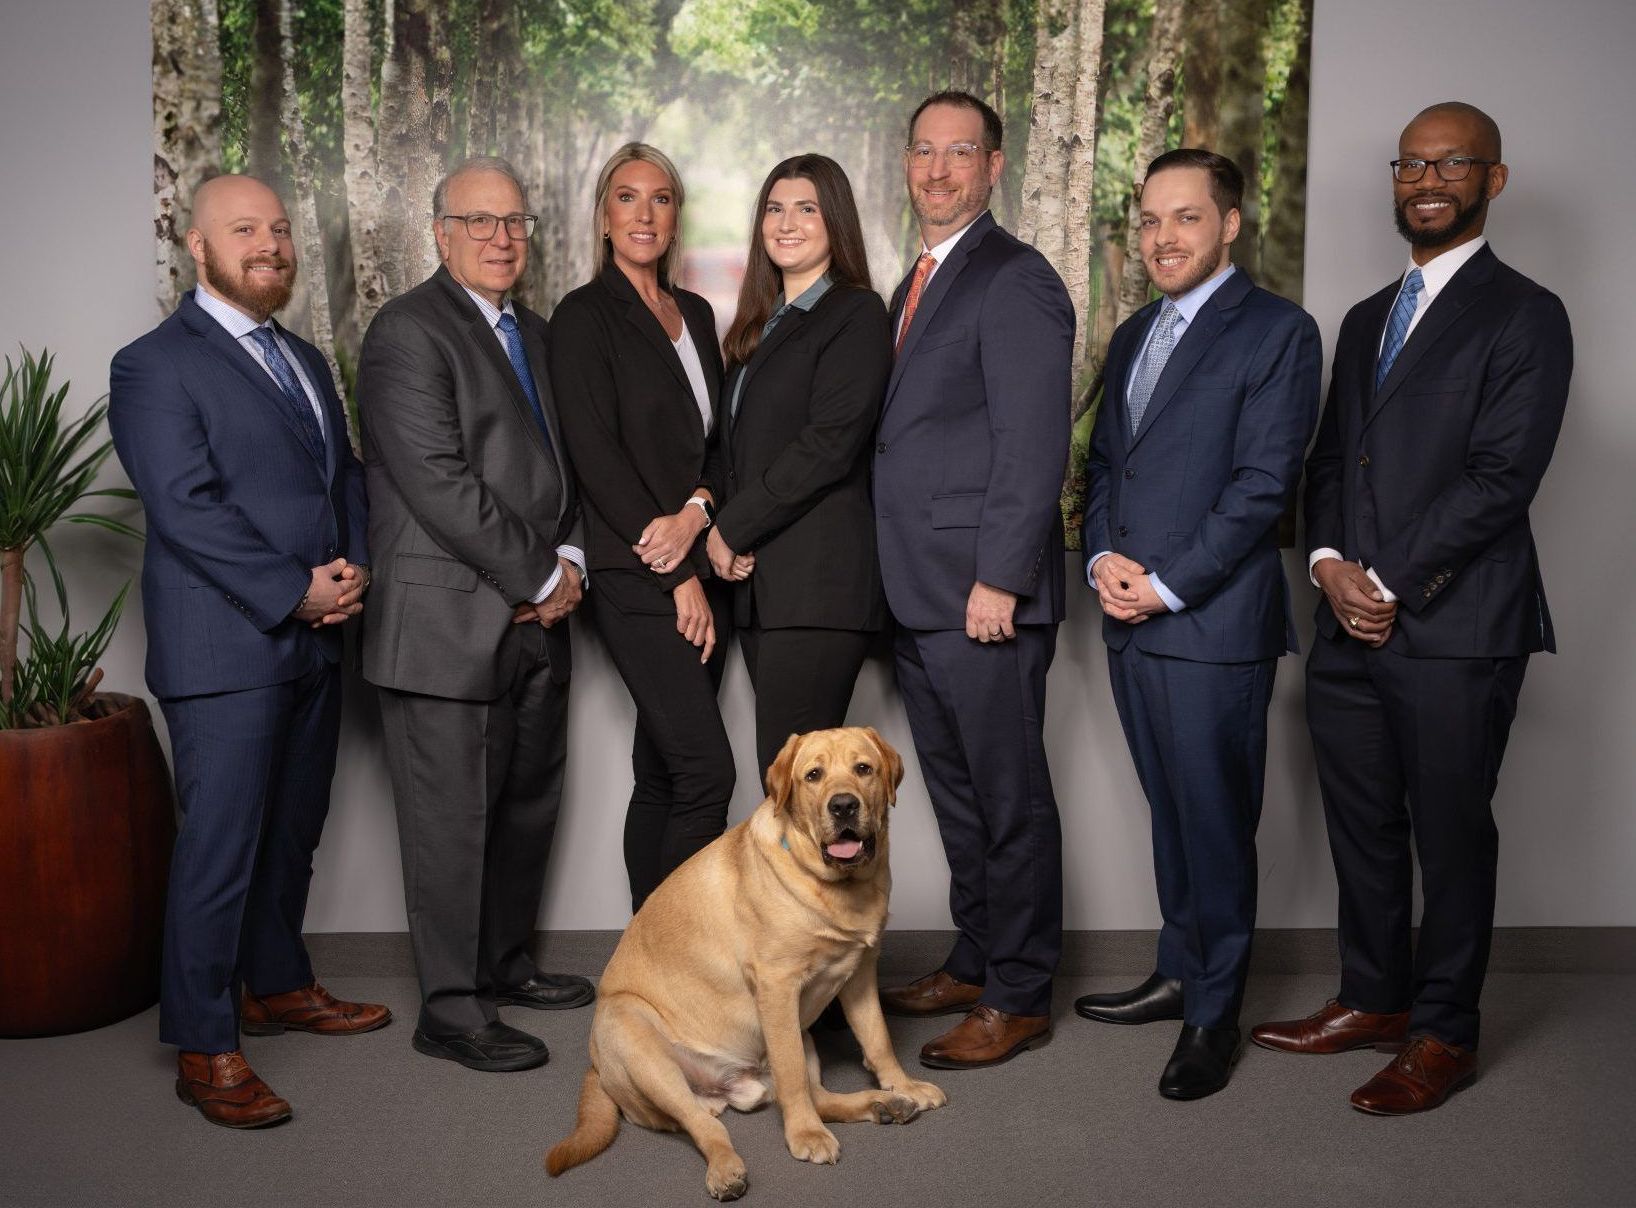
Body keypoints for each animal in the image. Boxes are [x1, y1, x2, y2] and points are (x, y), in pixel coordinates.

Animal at [546, 723, 948, 1198]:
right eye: (813, 775)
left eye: (863, 769)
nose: (844, 805)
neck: (837, 887)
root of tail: (595, 1066)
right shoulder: (777, 987)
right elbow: (791, 1075)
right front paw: (804, 1135)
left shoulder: (861, 972)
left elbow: (877, 1039)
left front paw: (902, 1085)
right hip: (636, 1037)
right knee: (705, 1124)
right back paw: (729, 1168)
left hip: (801, 1034)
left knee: (820, 1097)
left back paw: (885, 1103)